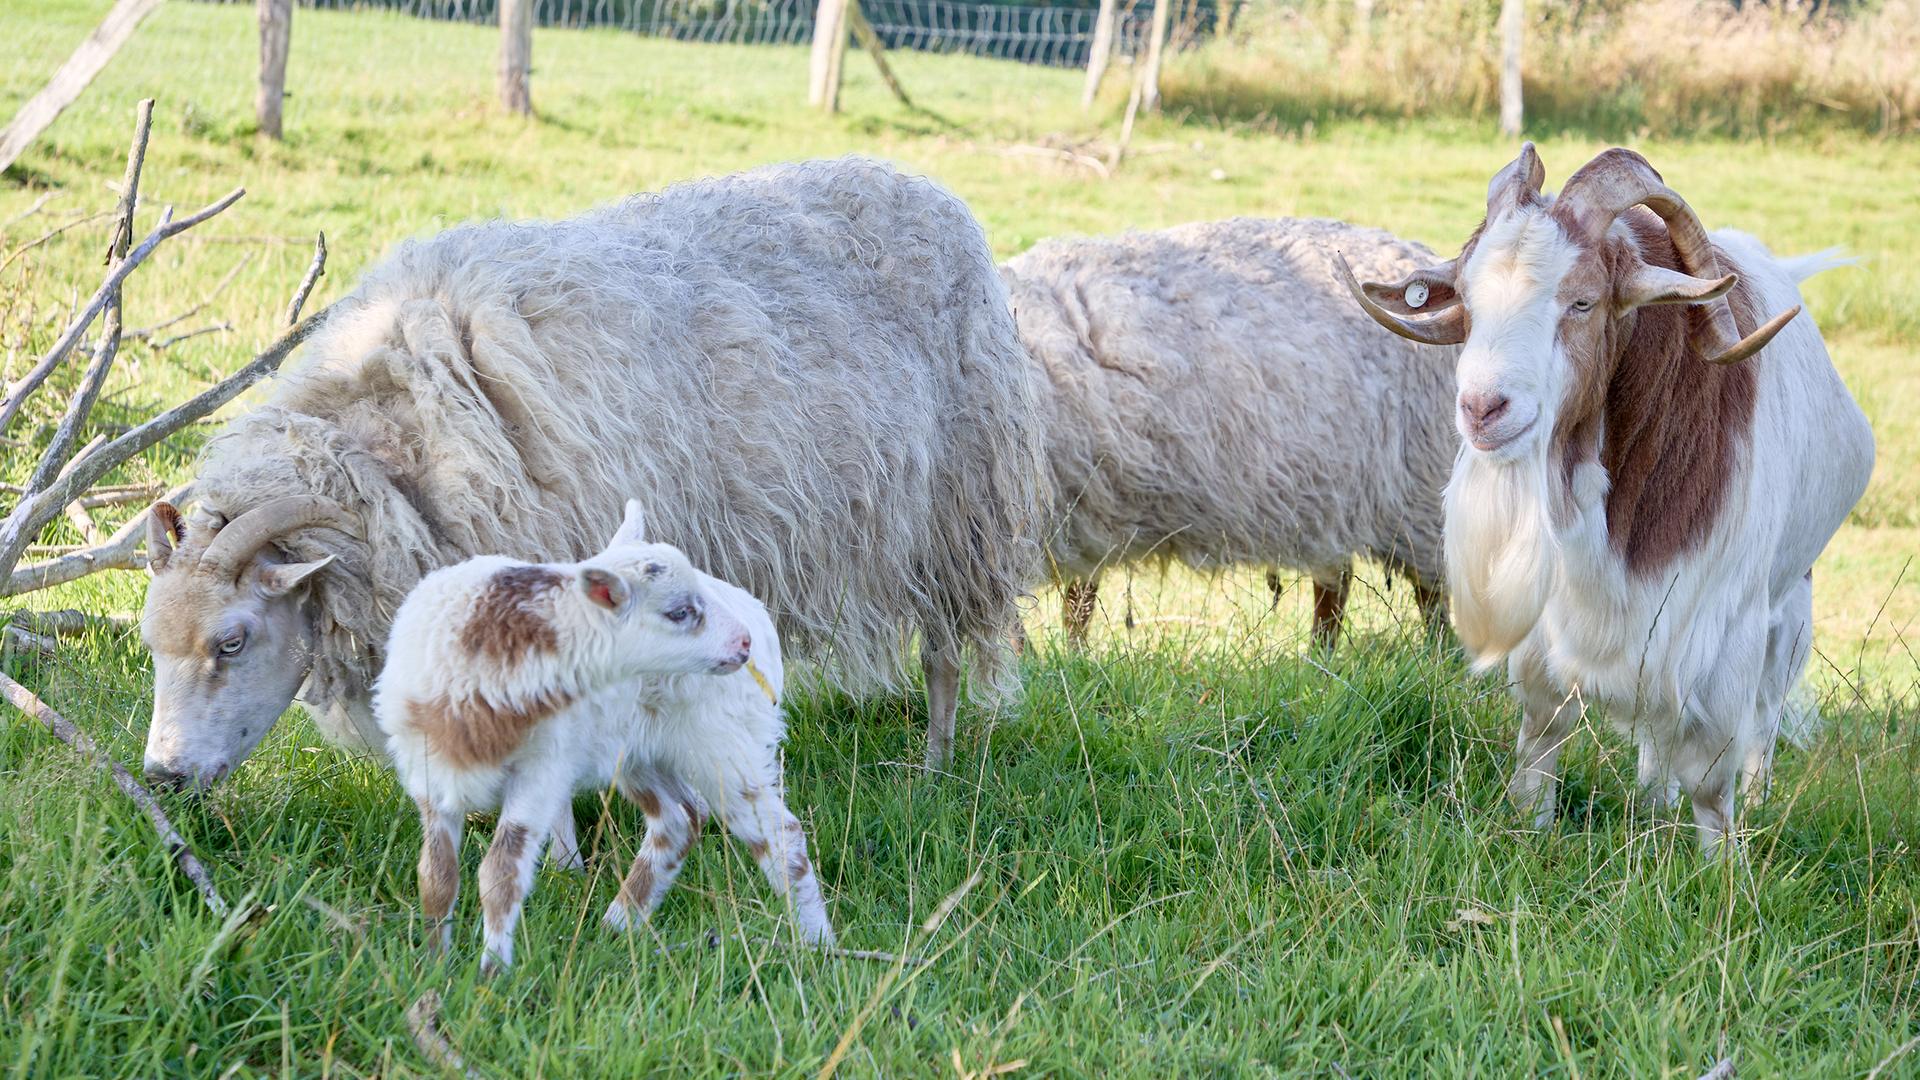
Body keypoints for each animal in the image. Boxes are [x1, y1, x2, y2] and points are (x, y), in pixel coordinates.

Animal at [138, 156, 1044, 795]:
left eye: (232, 640)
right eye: (151, 643)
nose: (162, 777)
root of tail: (932, 189)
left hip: (957, 511)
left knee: (944, 653)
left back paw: (934, 767)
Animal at [376, 500, 831, 971]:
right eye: (679, 612)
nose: (741, 643)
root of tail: (758, 617)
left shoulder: (541, 773)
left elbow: (500, 872)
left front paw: (491, 973)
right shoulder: (429, 775)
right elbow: (436, 875)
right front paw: (433, 966)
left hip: (720, 742)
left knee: (781, 835)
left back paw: (816, 944)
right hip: (637, 751)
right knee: (679, 820)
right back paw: (618, 926)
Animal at [1000, 217, 1461, 648]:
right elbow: (1074, 602)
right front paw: (1070, 657)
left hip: (1419, 484)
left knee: (1431, 591)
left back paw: (1436, 655)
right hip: (1334, 493)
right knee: (1335, 582)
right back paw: (1320, 658)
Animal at [1337, 144, 1874, 851]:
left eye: (1583, 302)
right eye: (1469, 302)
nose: (1483, 408)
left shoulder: (1721, 623)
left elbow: (1713, 779)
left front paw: (1720, 867)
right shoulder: (1558, 623)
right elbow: (1542, 736)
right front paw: (1530, 831)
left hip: (1790, 603)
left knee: (1762, 718)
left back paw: (1752, 804)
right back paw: (1652, 805)